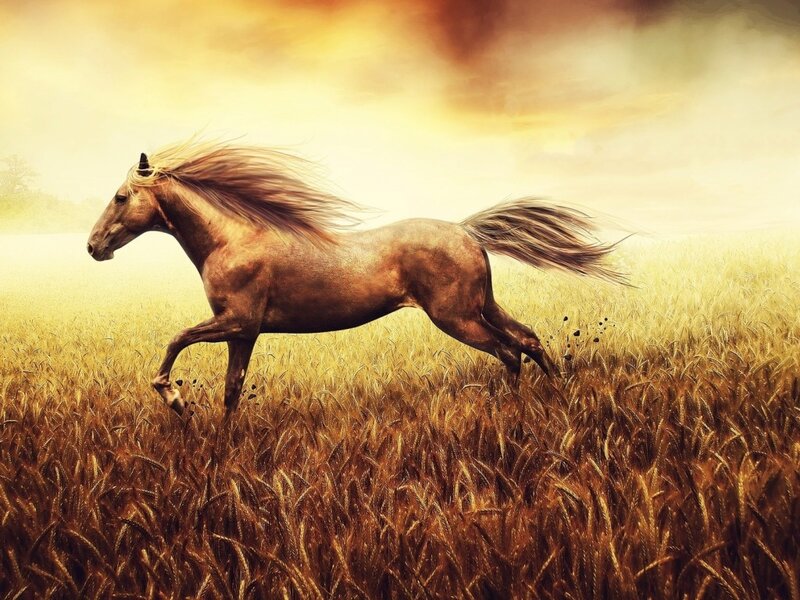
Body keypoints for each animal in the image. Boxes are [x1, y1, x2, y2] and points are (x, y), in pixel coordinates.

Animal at [87, 140, 623, 415]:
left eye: (120, 196)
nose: (93, 247)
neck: (231, 240)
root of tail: (467, 231)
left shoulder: (237, 322)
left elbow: (176, 340)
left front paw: (175, 399)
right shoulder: (243, 333)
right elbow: (231, 391)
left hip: (456, 317)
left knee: (509, 351)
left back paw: (515, 413)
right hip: (481, 306)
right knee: (528, 339)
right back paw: (558, 395)